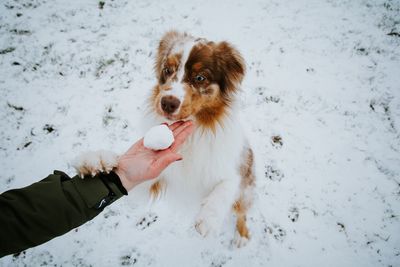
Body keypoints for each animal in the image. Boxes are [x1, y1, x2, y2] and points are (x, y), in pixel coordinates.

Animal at [73, 30, 255, 247]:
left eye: (200, 77)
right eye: (168, 70)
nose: (167, 103)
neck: (193, 135)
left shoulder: (233, 171)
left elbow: (225, 187)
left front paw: (209, 218)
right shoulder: (155, 177)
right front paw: (96, 160)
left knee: (241, 211)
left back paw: (241, 235)